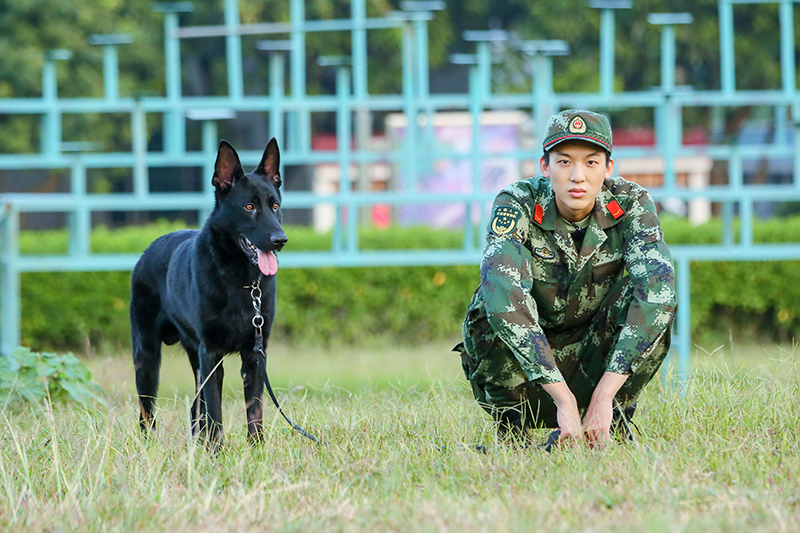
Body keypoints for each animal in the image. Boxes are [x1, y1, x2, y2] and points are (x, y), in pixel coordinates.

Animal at [128, 138, 284, 448]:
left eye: (274, 205)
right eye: (249, 206)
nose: (280, 240)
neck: (240, 280)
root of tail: (147, 250)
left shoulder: (254, 356)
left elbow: (254, 411)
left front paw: (256, 450)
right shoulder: (211, 354)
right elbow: (215, 411)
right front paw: (217, 452)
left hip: (193, 356)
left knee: (193, 409)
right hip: (147, 357)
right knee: (146, 412)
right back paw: (149, 446)